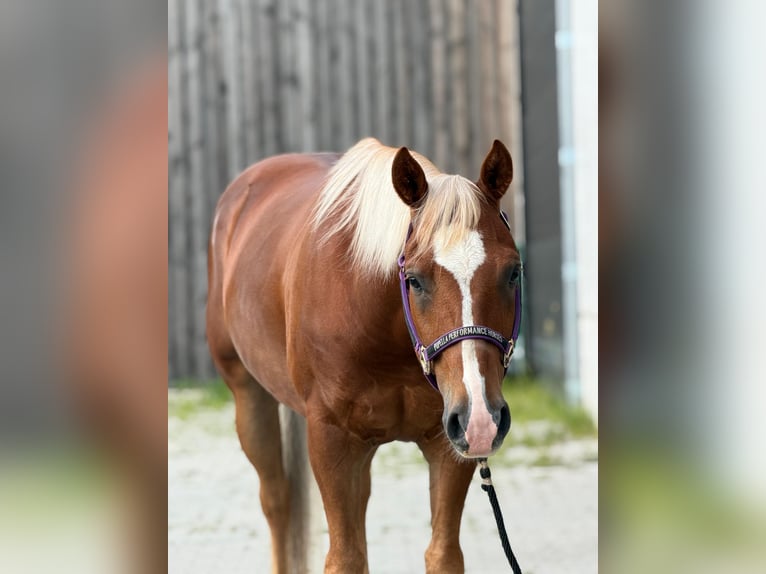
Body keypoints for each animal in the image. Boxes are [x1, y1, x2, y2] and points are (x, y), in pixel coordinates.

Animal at [206, 137, 521, 573]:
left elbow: (442, 554)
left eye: (513, 272)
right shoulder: (332, 440)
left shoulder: (448, 443)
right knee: (276, 502)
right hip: (249, 396)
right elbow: (345, 558)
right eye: (414, 280)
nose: (481, 419)